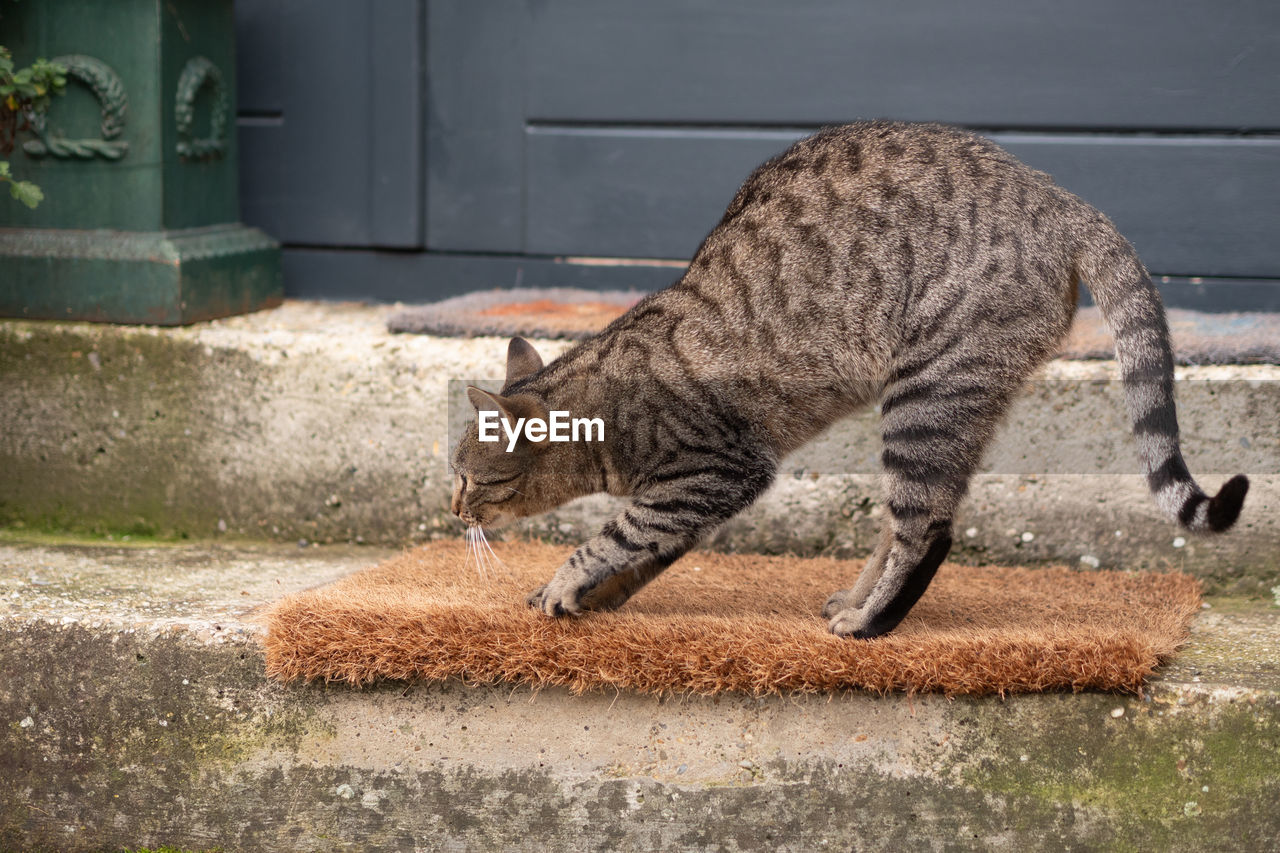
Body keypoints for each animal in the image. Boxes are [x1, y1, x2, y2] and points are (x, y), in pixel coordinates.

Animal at [450, 121, 1249, 637]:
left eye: (465, 477)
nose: (453, 511)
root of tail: (1058, 198)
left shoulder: (718, 470)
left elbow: (617, 534)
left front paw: (569, 580)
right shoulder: (697, 494)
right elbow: (647, 549)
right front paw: (595, 595)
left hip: (925, 397)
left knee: (926, 528)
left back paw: (871, 621)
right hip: (953, 404)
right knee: (913, 516)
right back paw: (858, 601)